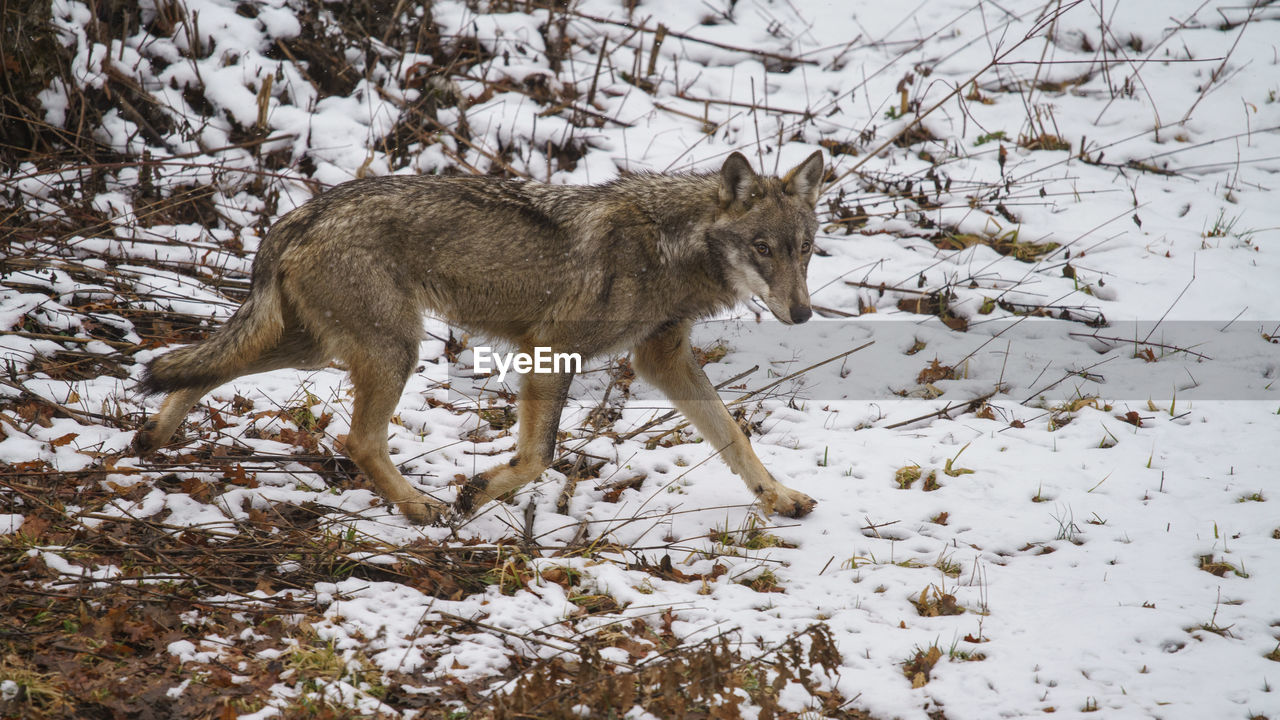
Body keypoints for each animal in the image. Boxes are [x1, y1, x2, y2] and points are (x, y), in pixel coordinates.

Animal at [135, 149, 824, 520]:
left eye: (804, 250)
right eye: (762, 249)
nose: (802, 314)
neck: (668, 246)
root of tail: (304, 212)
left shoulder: (662, 357)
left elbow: (734, 435)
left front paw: (779, 498)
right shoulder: (553, 351)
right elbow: (538, 456)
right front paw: (476, 492)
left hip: (314, 346)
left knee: (201, 366)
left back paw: (154, 435)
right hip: (391, 350)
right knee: (357, 440)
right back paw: (420, 509)